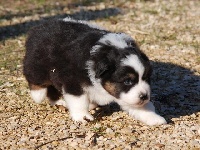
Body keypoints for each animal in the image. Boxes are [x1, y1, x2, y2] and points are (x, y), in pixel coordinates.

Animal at [23, 17, 166, 125]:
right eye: (127, 81)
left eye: (146, 78)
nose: (144, 96)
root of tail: (39, 27)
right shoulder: (73, 81)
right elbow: (78, 100)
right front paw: (82, 116)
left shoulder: (125, 95)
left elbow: (139, 106)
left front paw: (154, 118)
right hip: (40, 66)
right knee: (34, 78)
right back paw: (39, 94)